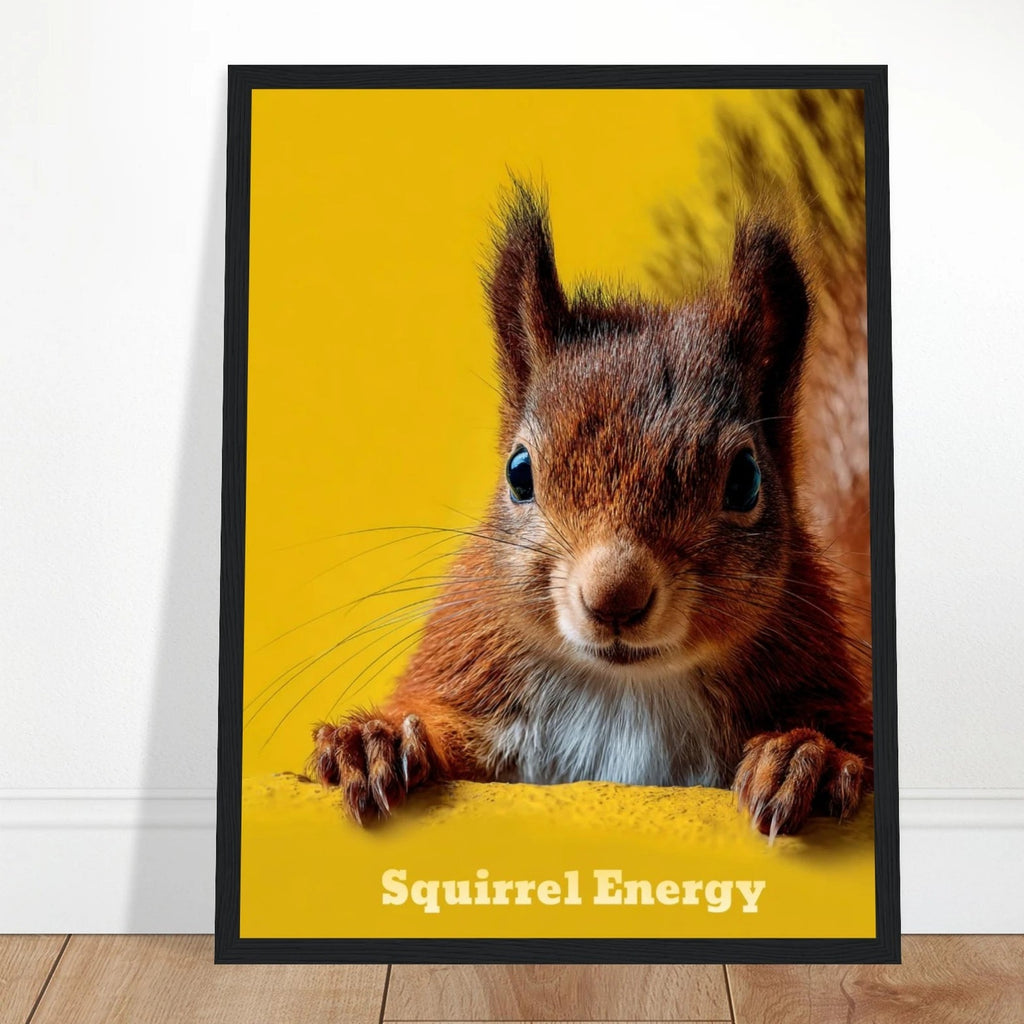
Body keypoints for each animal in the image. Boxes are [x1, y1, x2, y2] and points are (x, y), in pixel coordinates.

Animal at [307, 181, 874, 839]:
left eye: (745, 481)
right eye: (518, 472)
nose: (614, 597)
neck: (627, 691)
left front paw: (806, 754)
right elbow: (442, 732)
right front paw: (377, 739)